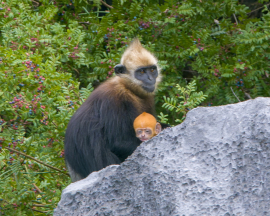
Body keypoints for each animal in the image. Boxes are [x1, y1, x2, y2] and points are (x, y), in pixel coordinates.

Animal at [65, 38, 162, 181]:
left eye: (152, 70)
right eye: (141, 72)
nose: (150, 79)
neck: (128, 88)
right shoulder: (113, 101)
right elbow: (119, 142)